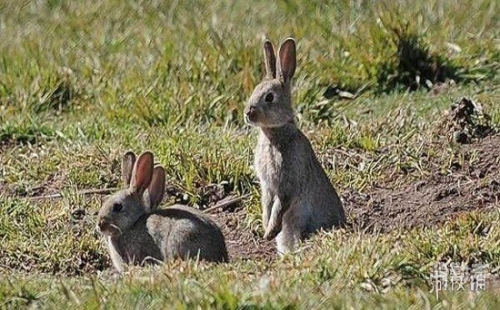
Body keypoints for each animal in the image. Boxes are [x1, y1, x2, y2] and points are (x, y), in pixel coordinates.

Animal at [244, 37, 346, 254]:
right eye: (255, 90)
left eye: (269, 97)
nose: (248, 113)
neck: (274, 134)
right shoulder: (267, 186)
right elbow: (267, 204)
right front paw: (266, 228)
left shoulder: (287, 183)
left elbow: (280, 205)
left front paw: (269, 232)